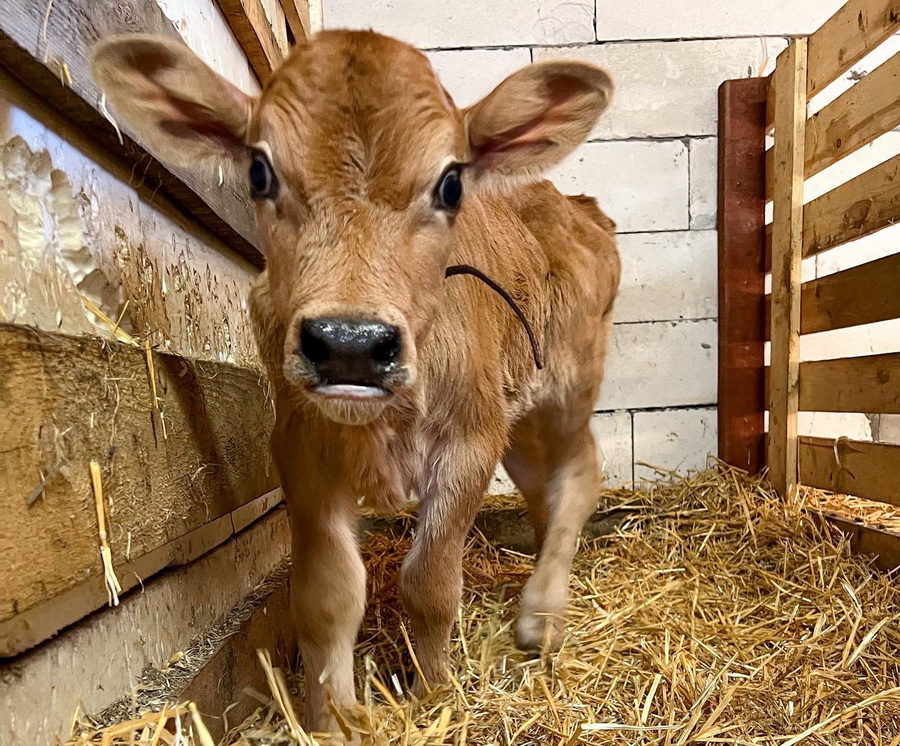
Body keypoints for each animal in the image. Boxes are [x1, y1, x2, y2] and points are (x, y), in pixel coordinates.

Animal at [95, 30, 624, 732]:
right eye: (259, 171)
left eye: (451, 183)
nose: (350, 345)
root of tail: (571, 201)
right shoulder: (301, 451)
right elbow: (328, 595)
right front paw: (333, 717)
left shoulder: (468, 440)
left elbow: (429, 582)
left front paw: (434, 692)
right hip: (514, 415)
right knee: (547, 487)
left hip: (565, 387)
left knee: (581, 470)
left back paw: (541, 614)